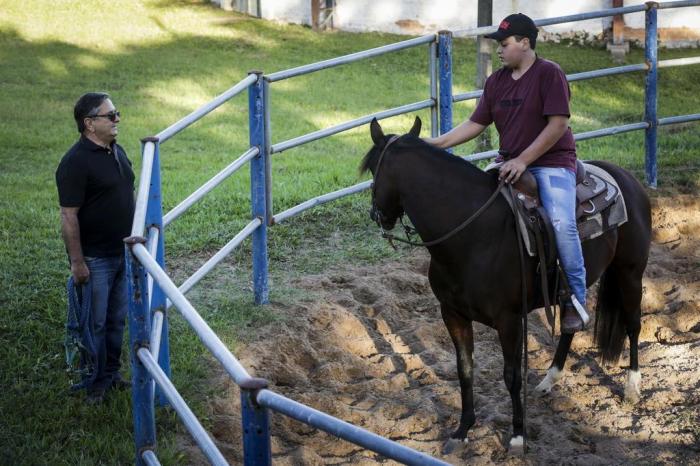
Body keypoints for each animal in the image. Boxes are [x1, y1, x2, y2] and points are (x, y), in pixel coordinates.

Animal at [364, 116, 652, 452]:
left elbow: (512, 375)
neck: (472, 235)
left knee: (633, 324)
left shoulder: (510, 320)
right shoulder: (452, 313)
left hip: (630, 273)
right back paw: (549, 380)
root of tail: (627, 179)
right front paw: (462, 430)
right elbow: (465, 369)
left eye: (373, 171)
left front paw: (517, 435)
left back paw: (632, 387)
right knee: (571, 324)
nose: (378, 215)